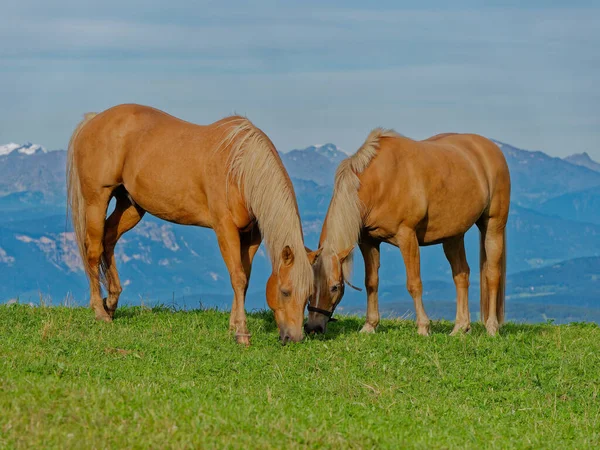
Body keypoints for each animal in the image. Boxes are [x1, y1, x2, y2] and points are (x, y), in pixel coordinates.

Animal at [66, 104, 322, 344]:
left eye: (309, 294)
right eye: (285, 291)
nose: (295, 337)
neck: (239, 168)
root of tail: (94, 120)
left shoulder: (252, 236)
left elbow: (245, 278)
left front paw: (233, 325)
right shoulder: (225, 229)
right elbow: (237, 277)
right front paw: (241, 332)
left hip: (130, 206)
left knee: (108, 239)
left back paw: (111, 301)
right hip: (97, 200)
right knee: (93, 250)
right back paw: (100, 312)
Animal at [304, 128, 510, 336]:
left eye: (335, 287)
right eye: (310, 286)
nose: (313, 328)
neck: (381, 182)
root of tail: (490, 149)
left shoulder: (407, 237)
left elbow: (414, 283)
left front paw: (423, 327)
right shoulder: (369, 242)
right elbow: (371, 282)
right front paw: (370, 325)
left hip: (494, 227)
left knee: (492, 275)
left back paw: (492, 327)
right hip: (453, 236)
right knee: (461, 275)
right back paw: (460, 328)